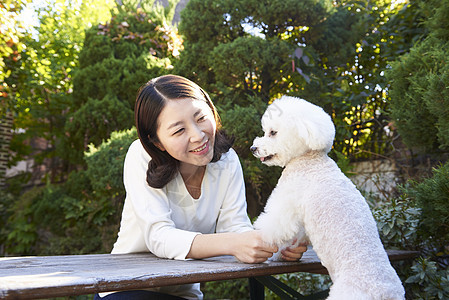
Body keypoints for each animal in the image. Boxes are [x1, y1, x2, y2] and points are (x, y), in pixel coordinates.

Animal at [250, 96, 404, 300]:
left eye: (273, 132)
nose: (253, 148)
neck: (309, 159)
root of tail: (384, 293)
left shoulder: (288, 201)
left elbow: (275, 226)